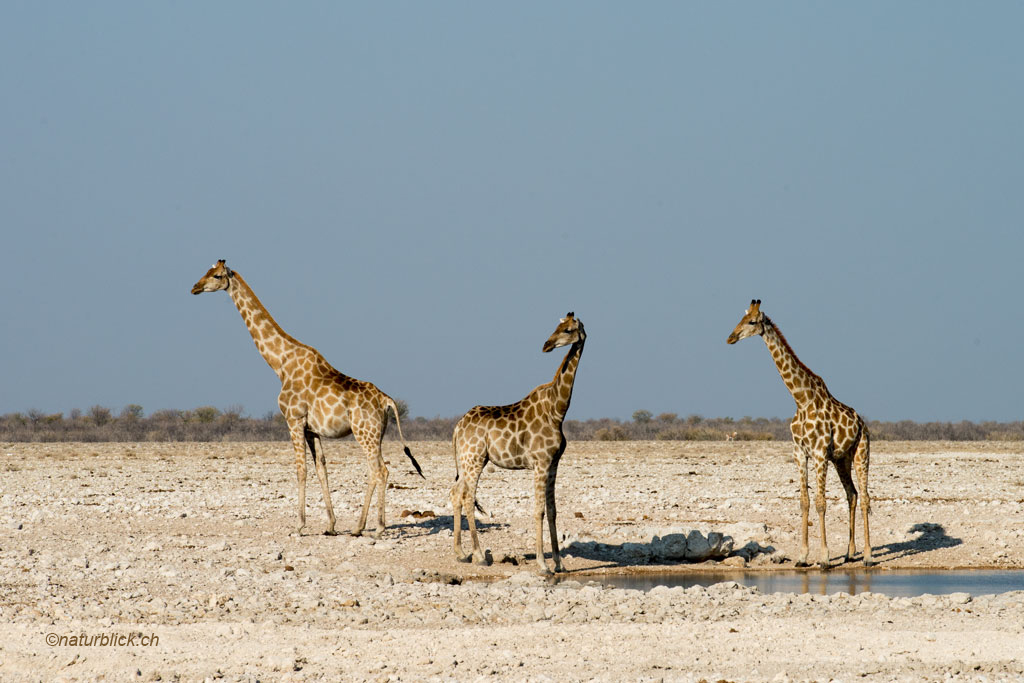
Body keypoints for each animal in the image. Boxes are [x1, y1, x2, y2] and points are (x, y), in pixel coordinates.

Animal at [191, 260, 422, 537]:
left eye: (216, 275)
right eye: (205, 271)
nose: (195, 287)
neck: (280, 363)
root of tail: (387, 400)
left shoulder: (293, 419)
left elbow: (300, 470)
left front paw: (299, 525)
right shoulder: (312, 429)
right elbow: (321, 469)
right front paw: (331, 526)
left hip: (364, 432)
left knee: (381, 470)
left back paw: (377, 528)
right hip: (376, 434)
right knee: (374, 470)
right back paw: (358, 527)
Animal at [450, 312, 586, 574]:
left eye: (567, 329)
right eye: (558, 327)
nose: (546, 345)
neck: (557, 411)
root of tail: (458, 427)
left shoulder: (553, 464)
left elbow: (552, 510)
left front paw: (559, 563)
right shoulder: (540, 464)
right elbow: (539, 510)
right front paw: (543, 564)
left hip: (466, 460)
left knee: (455, 492)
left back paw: (461, 553)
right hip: (475, 459)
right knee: (467, 497)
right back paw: (479, 556)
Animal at [727, 299, 873, 569]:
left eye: (751, 322)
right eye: (739, 319)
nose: (730, 337)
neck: (801, 400)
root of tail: (862, 423)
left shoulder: (819, 453)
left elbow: (820, 503)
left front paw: (824, 558)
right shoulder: (799, 453)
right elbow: (804, 502)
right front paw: (803, 557)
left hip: (861, 452)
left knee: (866, 497)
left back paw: (867, 556)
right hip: (841, 459)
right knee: (852, 494)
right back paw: (849, 553)